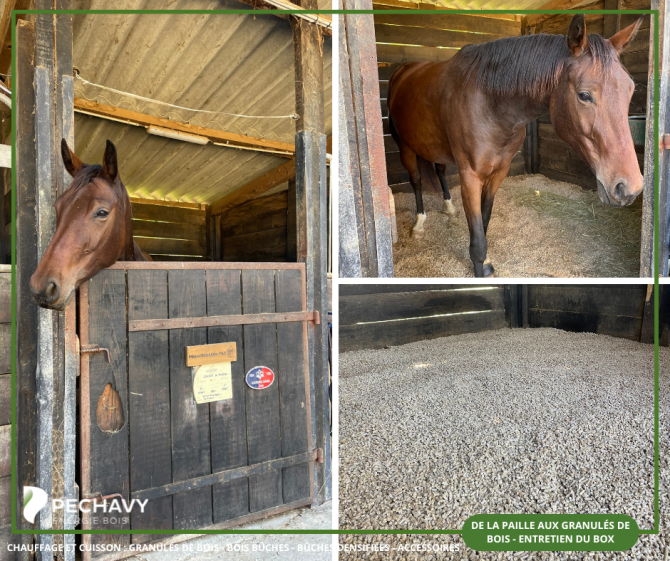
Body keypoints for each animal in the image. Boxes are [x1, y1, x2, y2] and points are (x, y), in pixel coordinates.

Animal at [388, 14, 644, 277]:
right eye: (584, 95)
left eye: (630, 90)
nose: (628, 188)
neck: (489, 104)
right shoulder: (470, 176)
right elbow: (477, 237)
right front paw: (480, 268)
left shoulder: (499, 172)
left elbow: (484, 221)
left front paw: (483, 260)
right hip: (405, 148)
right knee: (416, 181)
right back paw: (419, 224)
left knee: (438, 171)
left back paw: (449, 207)